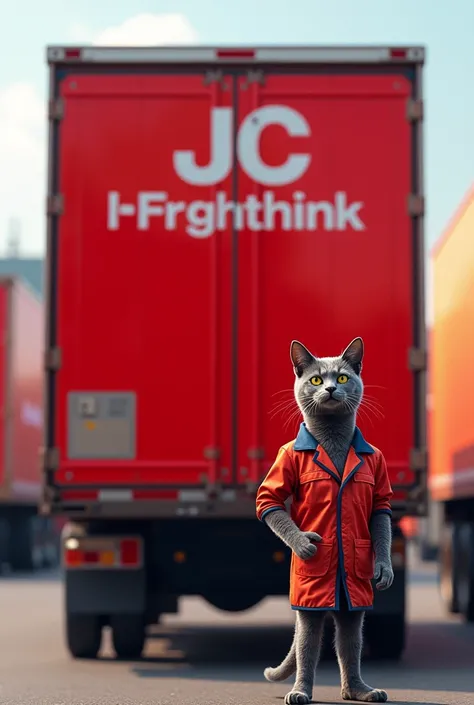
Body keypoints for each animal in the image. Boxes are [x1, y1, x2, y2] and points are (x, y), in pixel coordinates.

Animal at [256, 338, 392, 700]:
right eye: (316, 379)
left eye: (342, 377)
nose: (330, 388)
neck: (332, 440)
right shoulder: (280, 467)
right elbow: (269, 501)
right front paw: (306, 545)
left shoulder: (380, 486)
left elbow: (381, 510)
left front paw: (384, 569)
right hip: (309, 602)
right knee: (308, 642)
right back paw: (300, 692)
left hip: (352, 602)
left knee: (349, 641)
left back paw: (359, 690)